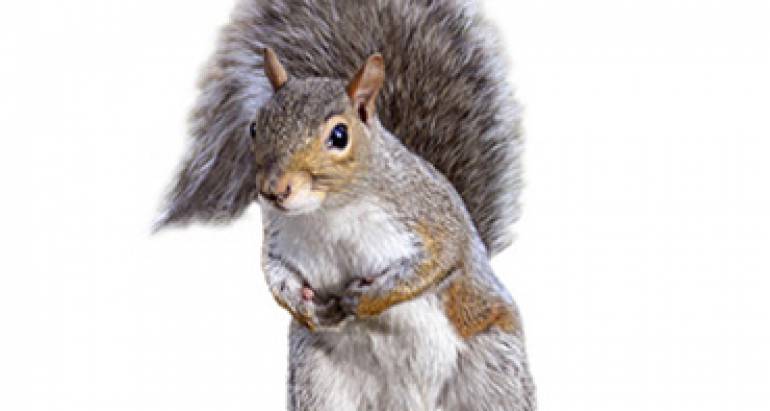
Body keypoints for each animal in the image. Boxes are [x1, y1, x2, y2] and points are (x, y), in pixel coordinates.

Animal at [157, 0, 534, 410]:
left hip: (494, 369)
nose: (274, 190)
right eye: (255, 127)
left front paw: (367, 297)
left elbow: (435, 261)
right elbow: (275, 276)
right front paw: (308, 307)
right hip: (319, 383)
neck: (329, 212)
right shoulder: (279, 240)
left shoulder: (429, 215)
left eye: (339, 135)